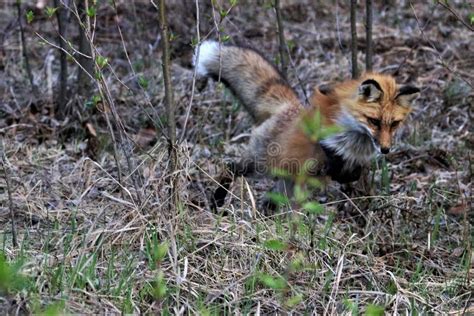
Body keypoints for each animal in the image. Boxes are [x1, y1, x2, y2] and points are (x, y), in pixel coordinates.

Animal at [194, 39, 420, 207]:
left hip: (283, 183)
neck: (356, 141)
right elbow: (334, 164)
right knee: (231, 168)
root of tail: (288, 106)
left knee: (270, 202)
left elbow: (352, 174)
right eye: (374, 121)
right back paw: (217, 201)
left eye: (394, 124)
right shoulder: (324, 147)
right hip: (260, 165)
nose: (385, 149)